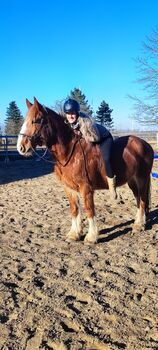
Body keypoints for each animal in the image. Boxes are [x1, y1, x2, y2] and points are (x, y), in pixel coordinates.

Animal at [17, 96, 153, 243]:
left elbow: (89, 209)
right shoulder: (69, 188)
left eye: (36, 120)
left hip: (142, 179)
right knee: (138, 199)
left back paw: (139, 225)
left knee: (142, 199)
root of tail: (145, 144)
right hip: (132, 181)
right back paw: (138, 222)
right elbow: (74, 209)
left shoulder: (86, 188)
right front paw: (74, 234)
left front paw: (91, 237)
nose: (21, 147)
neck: (69, 153)